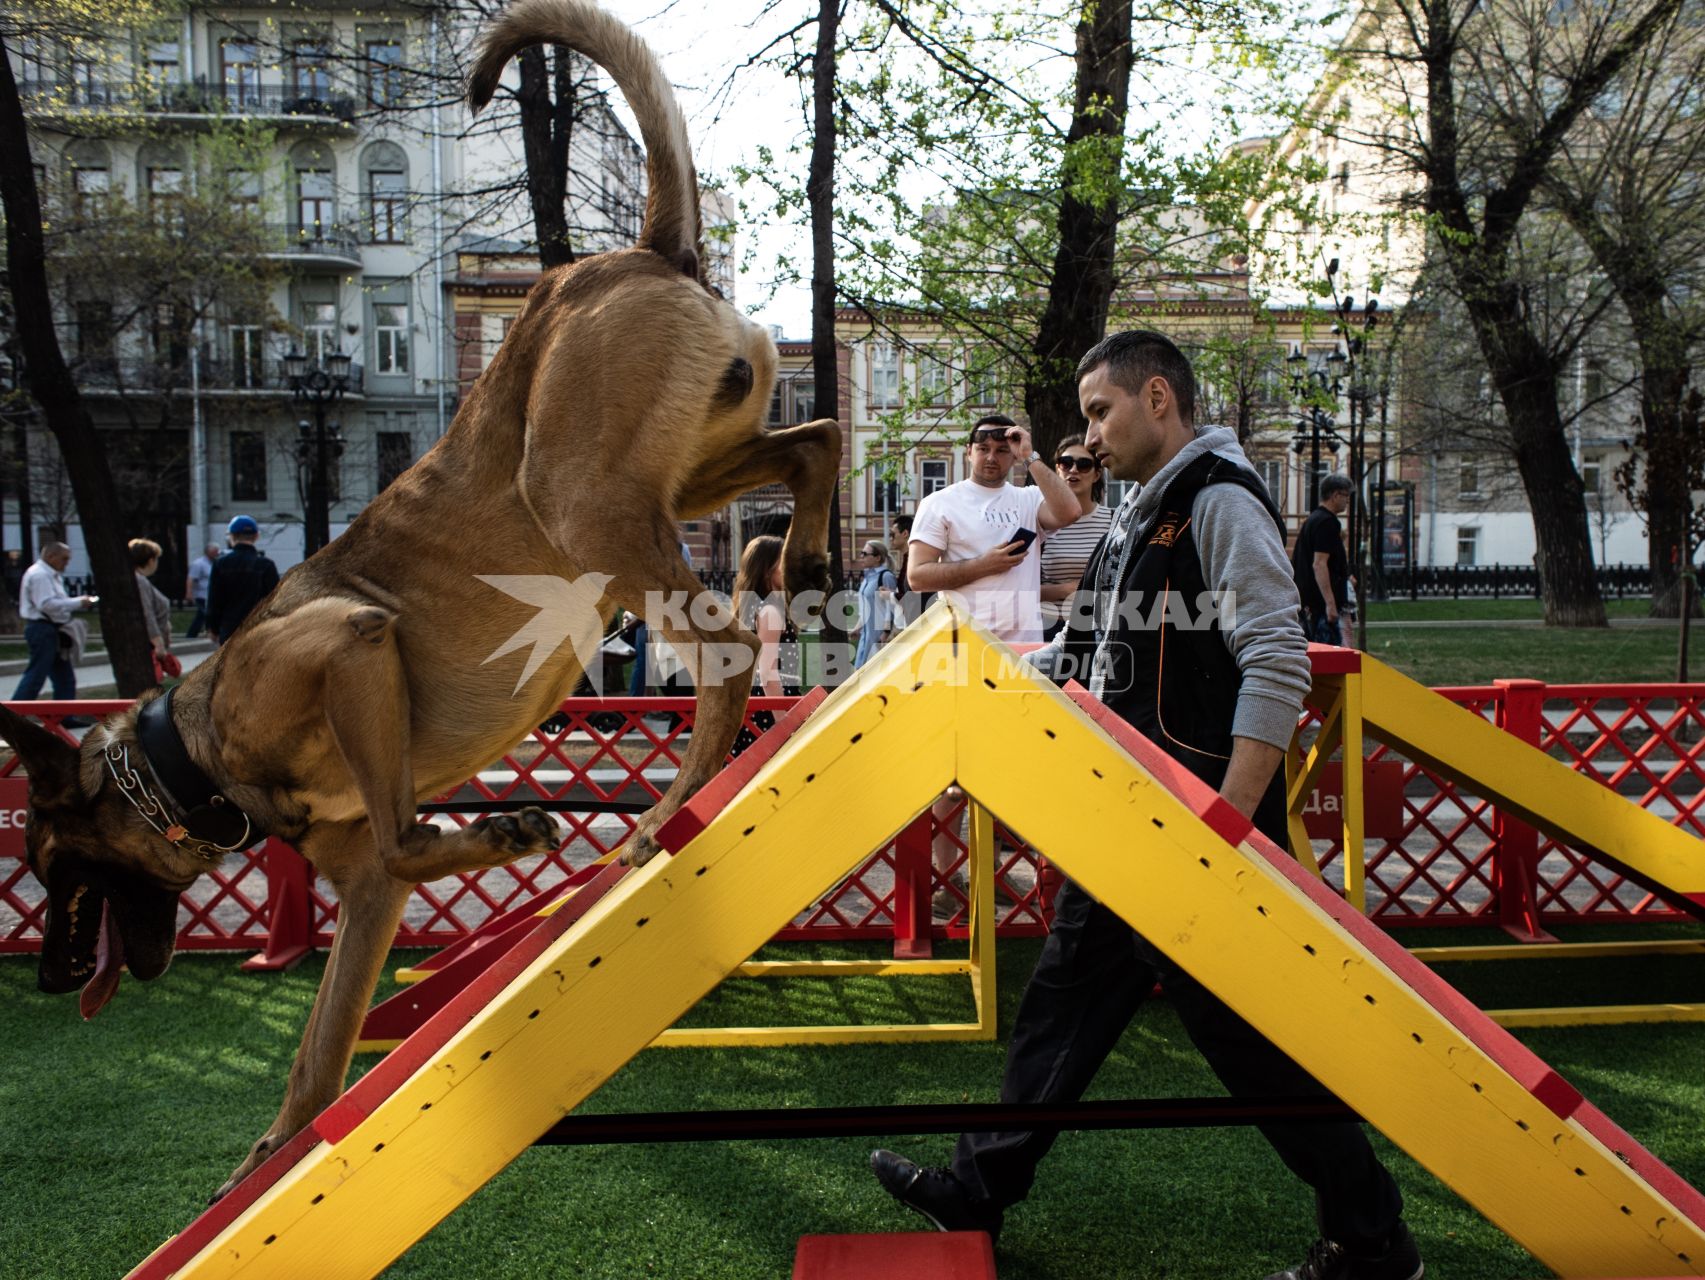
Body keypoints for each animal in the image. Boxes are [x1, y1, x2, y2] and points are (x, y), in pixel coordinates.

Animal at [0, 0, 838, 1199]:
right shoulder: (361, 899)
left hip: (581, 502)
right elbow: (318, 1045)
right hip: (675, 478)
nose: (48, 978)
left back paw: (665, 805)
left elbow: (403, 831)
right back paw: (805, 555)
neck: (187, 748)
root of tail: (628, 255)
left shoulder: (351, 646)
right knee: (816, 437)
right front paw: (271, 1154)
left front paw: (505, 828)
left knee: (721, 650)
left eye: (49, 864)